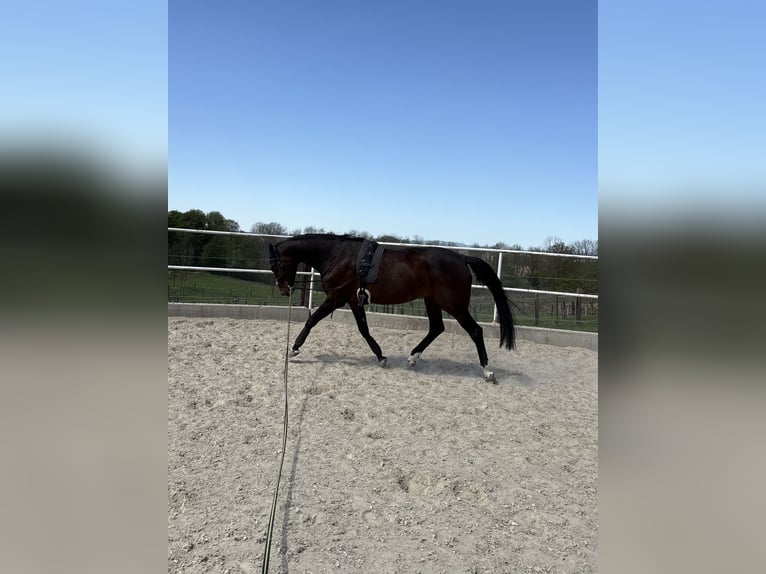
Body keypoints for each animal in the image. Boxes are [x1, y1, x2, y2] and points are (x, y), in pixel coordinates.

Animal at [268, 234, 515, 382]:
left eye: (276, 265)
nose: (284, 290)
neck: (337, 255)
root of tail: (462, 258)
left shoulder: (336, 298)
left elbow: (312, 320)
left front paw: (294, 349)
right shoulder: (353, 300)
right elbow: (364, 330)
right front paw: (380, 356)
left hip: (453, 304)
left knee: (475, 331)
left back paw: (487, 370)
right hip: (432, 301)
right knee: (436, 328)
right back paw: (412, 358)